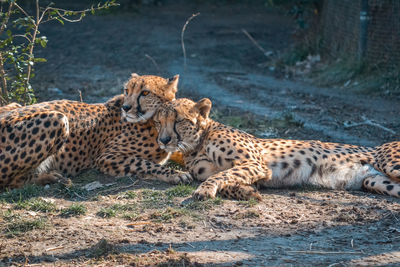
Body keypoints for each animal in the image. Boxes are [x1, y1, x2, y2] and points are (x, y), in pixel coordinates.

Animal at [0, 74, 191, 189]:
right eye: (127, 90)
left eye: (145, 93)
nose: (126, 108)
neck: (154, 121)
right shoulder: (106, 157)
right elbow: (146, 164)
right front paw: (176, 174)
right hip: (58, 119)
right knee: (11, 183)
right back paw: (50, 177)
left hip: (16, 104)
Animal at [152, 98, 400, 201]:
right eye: (158, 122)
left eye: (178, 120)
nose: (163, 140)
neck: (197, 143)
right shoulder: (254, 172)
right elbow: (227, 180)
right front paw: (247, 193)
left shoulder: (256, 164)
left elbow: (221, 176)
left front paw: (205, 190)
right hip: (375, 181)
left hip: (390, 164)